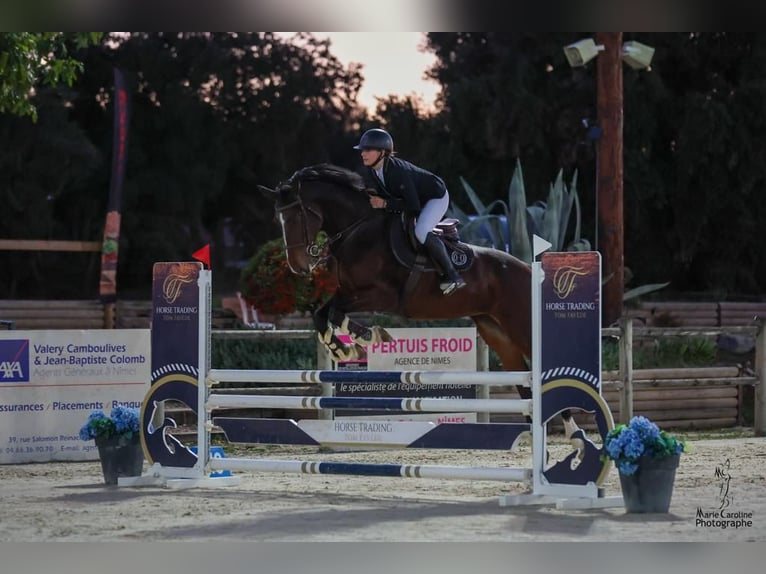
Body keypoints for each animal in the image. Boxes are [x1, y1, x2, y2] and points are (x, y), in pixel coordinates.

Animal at [264, 164, 584, 448]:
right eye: (279, 220)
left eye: (296, 216)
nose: (298, 267)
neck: (358, 230)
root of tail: (528, 270)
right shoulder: (348, 292)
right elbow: (323, 314)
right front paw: (345, 347)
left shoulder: (381, 295)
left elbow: (335, 313)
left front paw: (365, 337)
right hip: (497, 332)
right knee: (524, 380)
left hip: (521, 324)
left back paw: (573, 433)